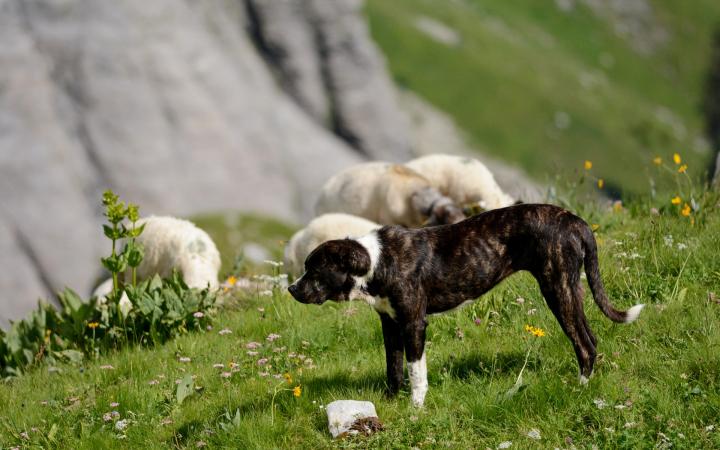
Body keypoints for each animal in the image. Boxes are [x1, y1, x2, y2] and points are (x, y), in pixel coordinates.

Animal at [290, 204, 644, 408]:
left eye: (314, 270)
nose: (292, 288)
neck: (378, 261)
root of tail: (575, 221)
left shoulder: (413, 324)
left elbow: (415, 371)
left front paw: (415, 409)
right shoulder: (389, 324)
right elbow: (394, 369)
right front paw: (389, 404)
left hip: (556, 288)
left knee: (584, 343)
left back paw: (578, 390)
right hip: (570, 290)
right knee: (591, 338)